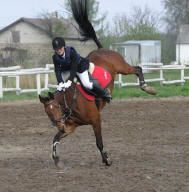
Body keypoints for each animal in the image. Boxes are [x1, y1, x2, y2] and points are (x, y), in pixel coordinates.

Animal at [38, 0, 157, 166]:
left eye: (56, 107)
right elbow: (55, 139)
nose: (59, 125)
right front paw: (56, 158)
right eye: (47, 112)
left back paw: (147, 88)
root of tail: (102, 49)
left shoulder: (95, 120)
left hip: (122, 68)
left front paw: (106, 159)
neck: (71, 103)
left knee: (137, 69)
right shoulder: (71, 127)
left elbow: (98, 142)